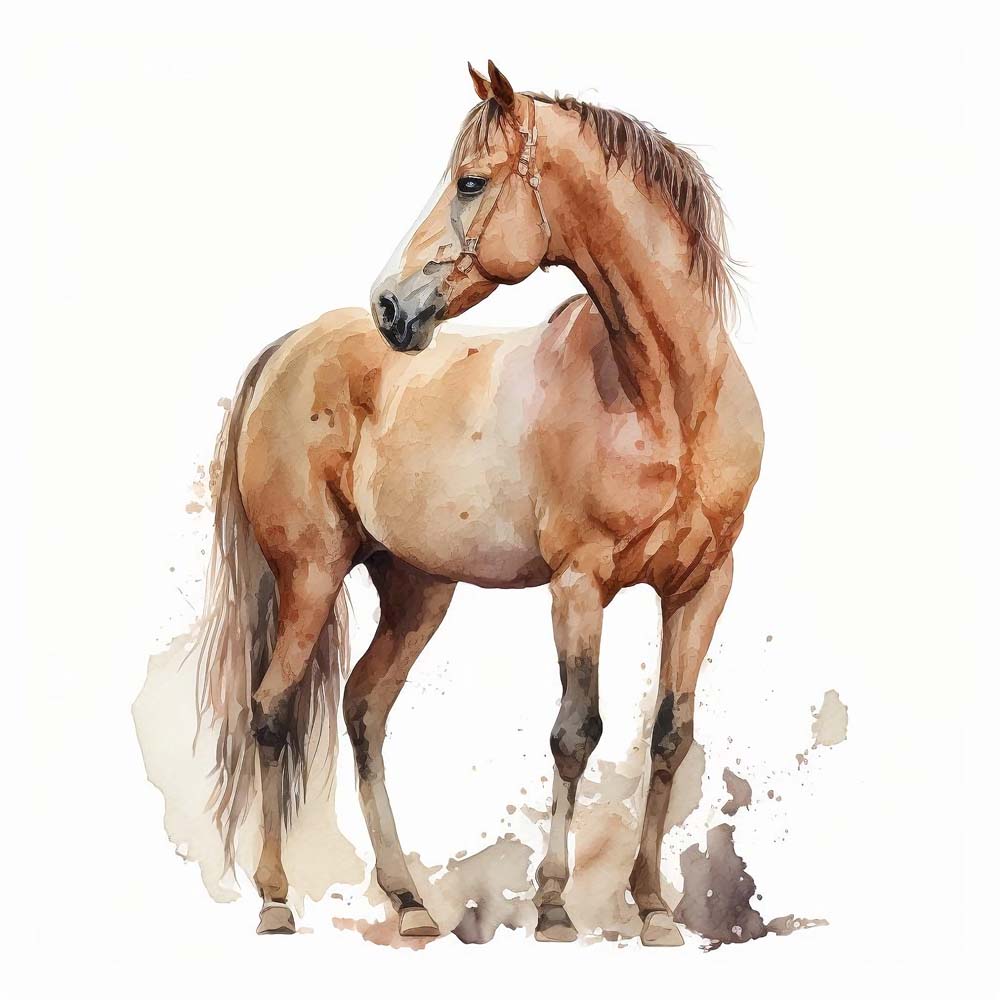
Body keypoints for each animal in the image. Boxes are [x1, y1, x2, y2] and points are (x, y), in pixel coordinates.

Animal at [198, 60, 763, 945]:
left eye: (470, 181)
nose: (390, 307)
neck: (670, 398)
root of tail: (288, 350)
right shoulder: (580, 582)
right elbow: (576, 732)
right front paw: (556, 907)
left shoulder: (705, 584)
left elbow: (671, 738)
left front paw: (652, 908)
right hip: (310, 576)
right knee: (271, 710)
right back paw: (275, 900)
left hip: (416, 591)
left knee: (364, 709)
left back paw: (408, 903)